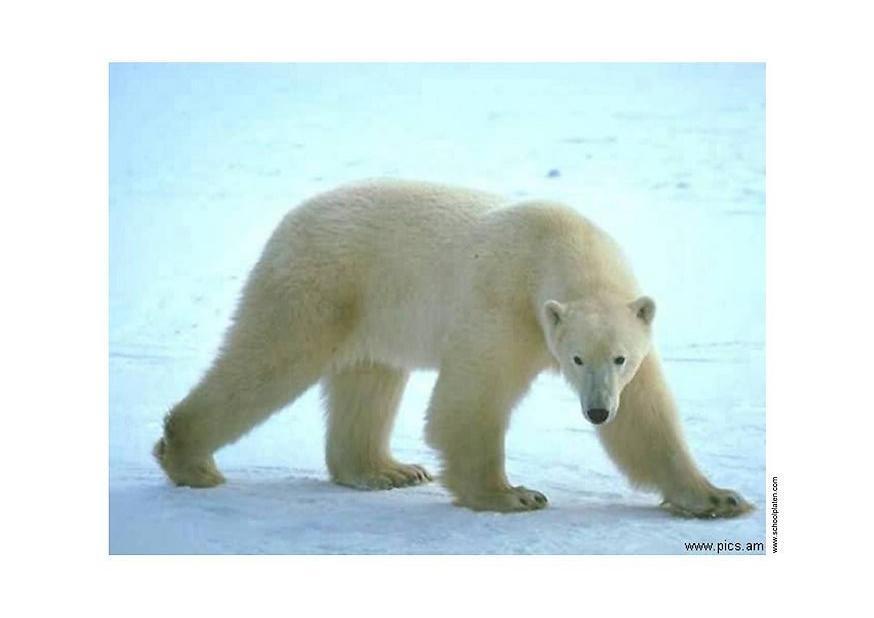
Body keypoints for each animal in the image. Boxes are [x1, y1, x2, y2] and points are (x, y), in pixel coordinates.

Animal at [154, 178, 751, 517]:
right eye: (577, 358)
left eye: (619, 359)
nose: (598, 411)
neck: (560, 246)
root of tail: (290, 219)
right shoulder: (505, 305)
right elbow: (470, 401)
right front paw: (513, 495)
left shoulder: (627, 325)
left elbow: (647, 419)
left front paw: (718, 499)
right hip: (321, 285)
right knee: (269, 359)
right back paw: (190, 459)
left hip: (374, 309)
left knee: (369, 382)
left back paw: (386, 470)